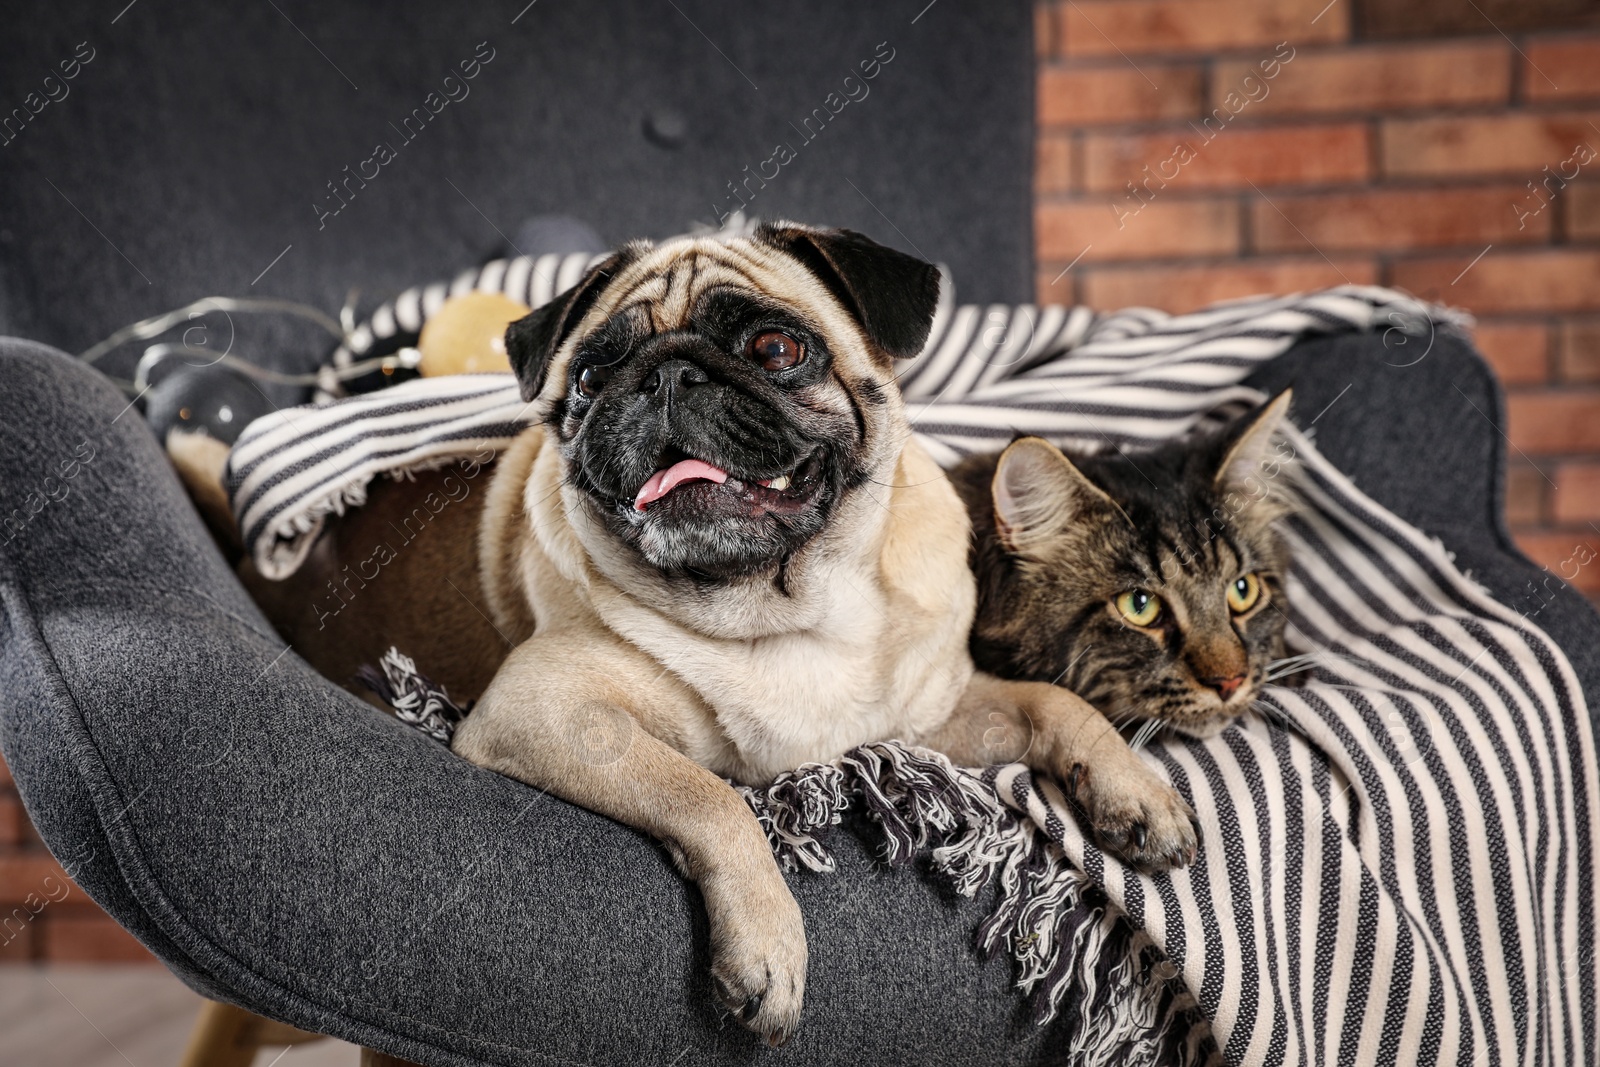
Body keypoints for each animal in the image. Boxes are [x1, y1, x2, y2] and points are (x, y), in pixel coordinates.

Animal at [172, 220, 1203, 1049]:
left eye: (779, 346)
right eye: (590, 374)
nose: (665, 373)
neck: (785, 602)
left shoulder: (926, 718)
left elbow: (1054, 702)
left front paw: (1136, 796)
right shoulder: (545, 712)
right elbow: (708, 795)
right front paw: (768, 950)